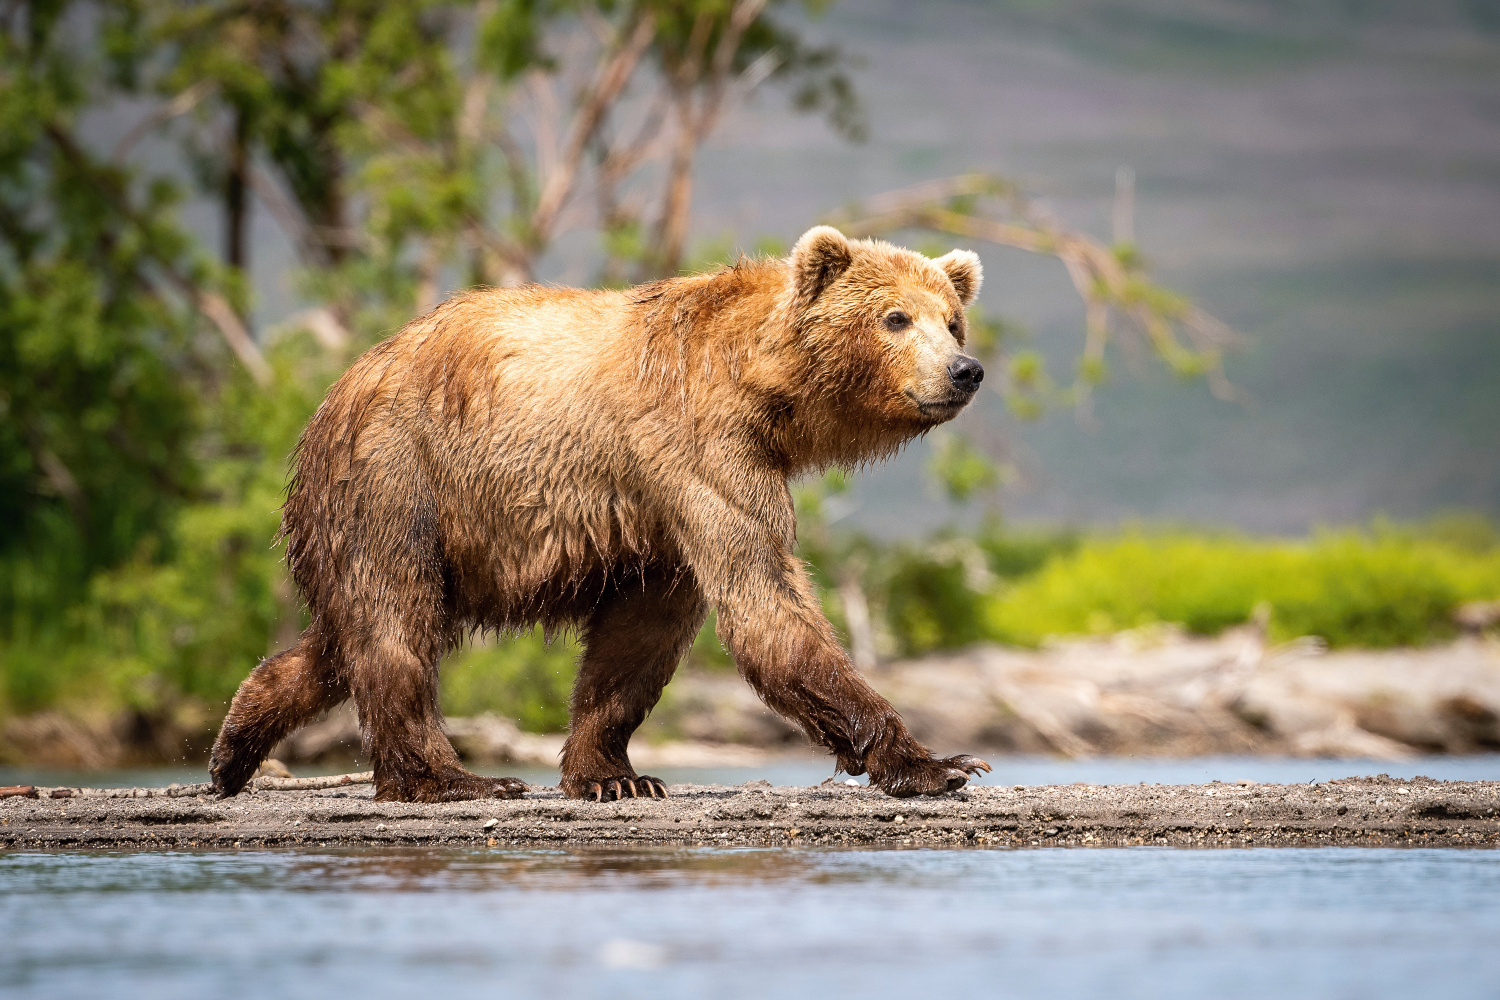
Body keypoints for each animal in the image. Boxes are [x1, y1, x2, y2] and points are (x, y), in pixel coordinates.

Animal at [205, 229, 990, 803]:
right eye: (896, 318)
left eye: (952, 321)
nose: (965, 370)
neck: (765, 388)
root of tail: (332, 395)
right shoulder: (699, 446)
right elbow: (765, 600)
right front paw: (939, 763)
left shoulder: (662, 514)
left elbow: (640, 637)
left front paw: (614, 775)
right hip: (397, 476)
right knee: (395, 622)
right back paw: (455, 778)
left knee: (340, 637)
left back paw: (234, 746)